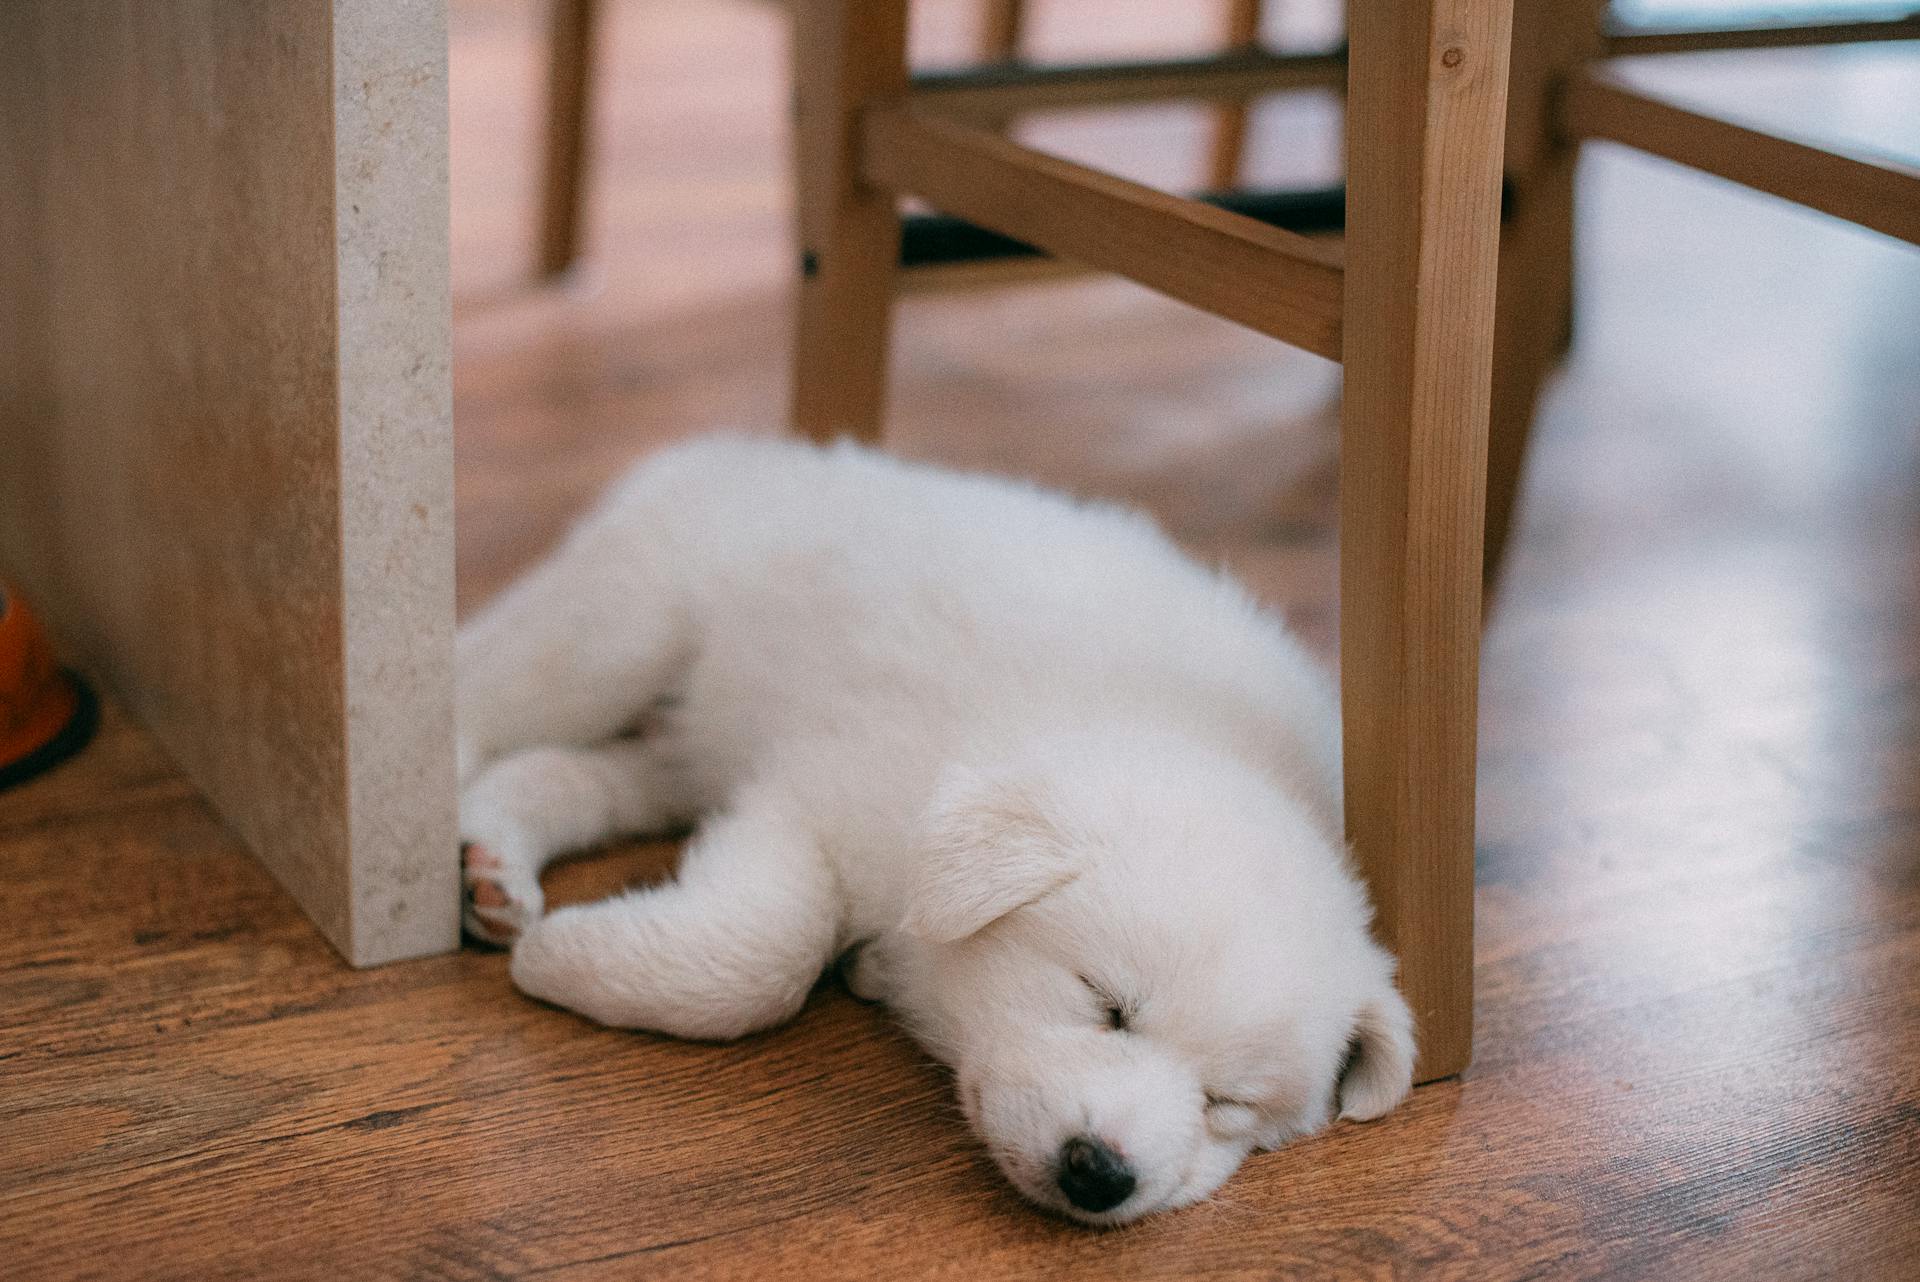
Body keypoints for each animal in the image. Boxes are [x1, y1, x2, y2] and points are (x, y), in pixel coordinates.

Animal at [449, 435, 1413, 1228]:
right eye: (1107, 1007)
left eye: (1228, 1104)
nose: (1100, 1174)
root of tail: (761, 449)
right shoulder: (815, 791)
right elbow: (764, 956)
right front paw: (561, 961)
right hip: (624, 627)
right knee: (490, 687)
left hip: (673, 744)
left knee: (575, 772)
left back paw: (490, 864)